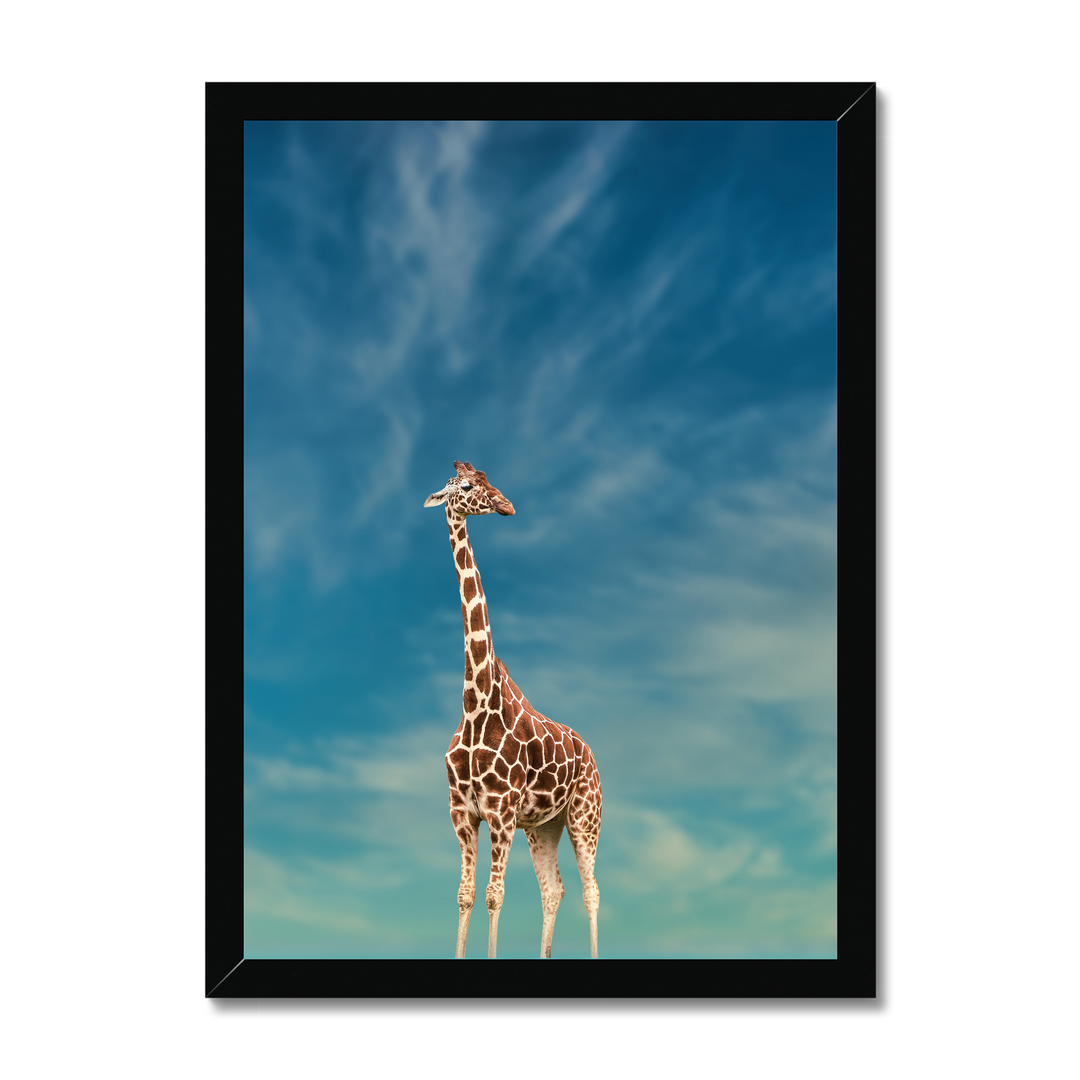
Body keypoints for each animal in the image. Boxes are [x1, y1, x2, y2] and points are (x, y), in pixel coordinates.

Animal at [424, 461, 602, 959]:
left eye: (488, 477)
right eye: (466, 485)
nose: (507, 506)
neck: (476, 703)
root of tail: (592, 756)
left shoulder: (500, 811)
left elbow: (494, 895)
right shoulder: (462, 812)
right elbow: (466, 894)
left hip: (585, 816)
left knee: (591, 891)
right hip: (543, 826)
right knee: (553, 889)